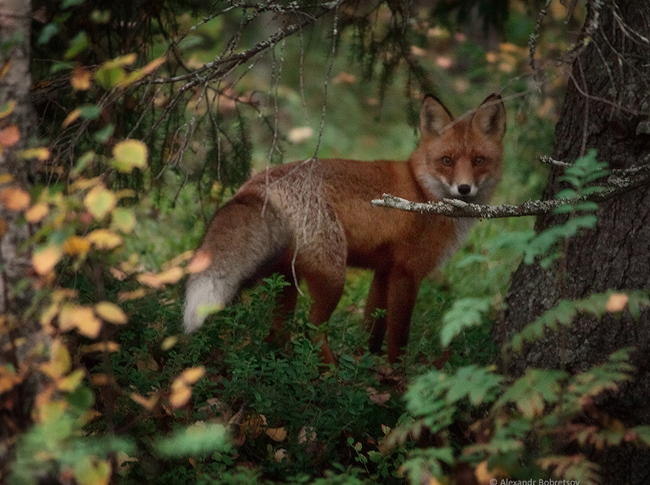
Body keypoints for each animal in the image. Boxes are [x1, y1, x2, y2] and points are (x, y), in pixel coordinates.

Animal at [184, 93, 506, 364]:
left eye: (479, 160)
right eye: (446, 161)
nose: (464, 189)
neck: (422, 190)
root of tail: (256, 184)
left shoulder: (383, 271)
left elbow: (373, 329)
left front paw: (366, 365)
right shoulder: (406, 273)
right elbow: (398, 337)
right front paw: (395, 377)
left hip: (284, 279)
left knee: (278, 332)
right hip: (332, 277)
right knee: (312, 329)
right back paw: (332, 375)